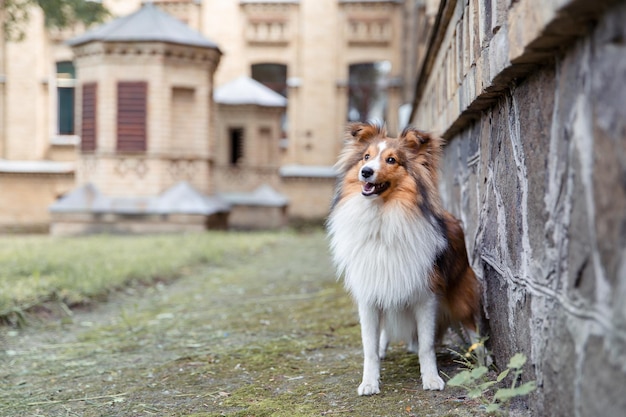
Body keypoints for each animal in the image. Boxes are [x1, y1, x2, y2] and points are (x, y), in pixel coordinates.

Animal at [324, 122, 480, 394]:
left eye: (391, 160)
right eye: (366, 157)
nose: (365, 172)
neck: (382, 217)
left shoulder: (426, 295)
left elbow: (427, 345)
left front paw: (431, 378)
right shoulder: (370, 294)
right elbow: (369, 347)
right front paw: (369, 382)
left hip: (460, 292)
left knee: (470, 325)